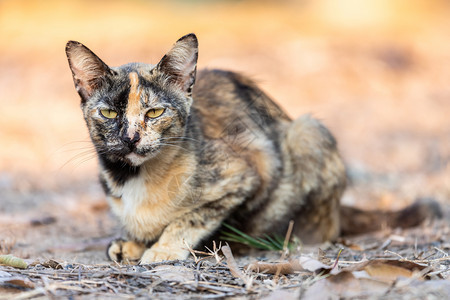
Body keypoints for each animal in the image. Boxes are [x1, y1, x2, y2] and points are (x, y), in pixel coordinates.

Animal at [65, 32, 442, 262]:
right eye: (109, 112)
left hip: (307, 132)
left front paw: (162, 249)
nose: (130, 137)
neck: (132, 179)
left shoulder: (251, 168)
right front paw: (134, 242)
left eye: (155, 112)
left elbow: (192, 216)